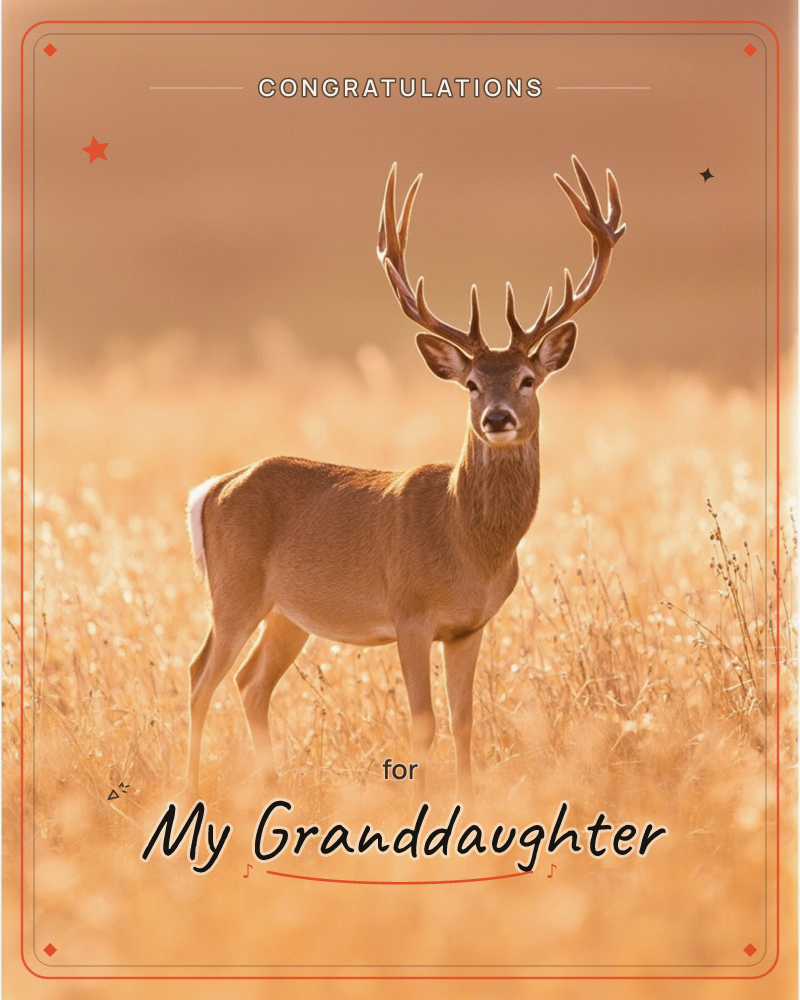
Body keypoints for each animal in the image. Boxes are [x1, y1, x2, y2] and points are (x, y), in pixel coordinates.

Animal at [183, 156, 624, 801]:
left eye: (527, 379)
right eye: (471, 384)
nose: (497, 418)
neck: (468, 543)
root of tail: (211, 489)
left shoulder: (469, 627)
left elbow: (465, 721)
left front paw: (467, 799)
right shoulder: (409, 612)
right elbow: (423, 723)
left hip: (288, 612)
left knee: (250, 682)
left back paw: (272, 787)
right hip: (234, 590)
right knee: (200, 676)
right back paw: (191, 788)